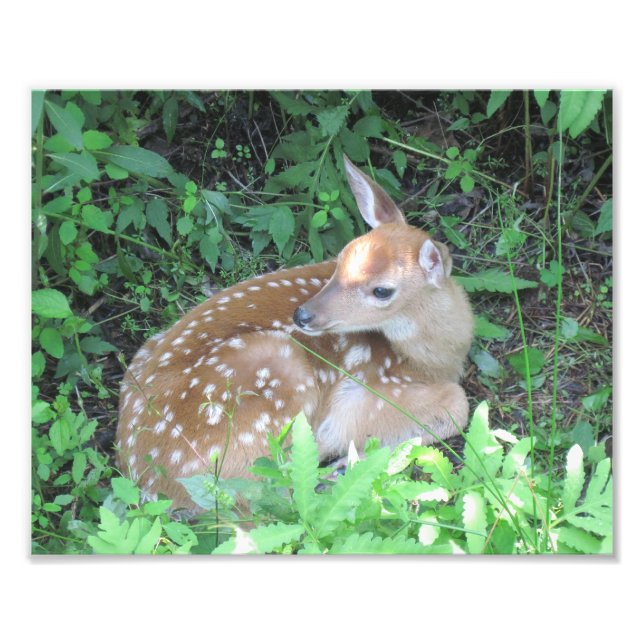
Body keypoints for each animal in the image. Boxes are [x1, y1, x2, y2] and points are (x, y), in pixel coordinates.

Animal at [116, 155, 474, 511]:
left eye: (382, 290)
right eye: (340, 259)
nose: (303, 314)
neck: (432, 360)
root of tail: (148, 482)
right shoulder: (365, 392)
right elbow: (458, 406)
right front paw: (349, 460)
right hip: (275, 376)